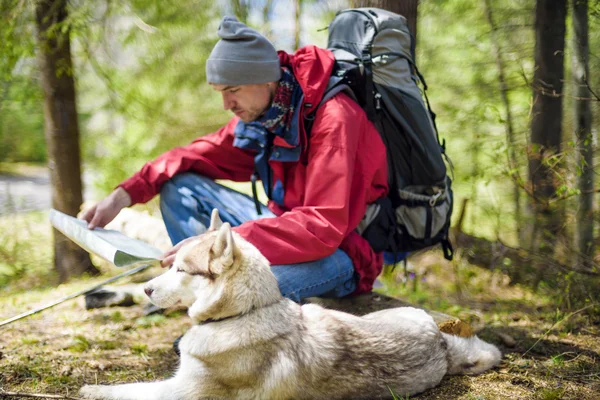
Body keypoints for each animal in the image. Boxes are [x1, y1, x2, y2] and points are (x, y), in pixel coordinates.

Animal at [81, 209, 502, 400]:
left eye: (180, 268)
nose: (147, 289)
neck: (243, 314)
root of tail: (441, 344)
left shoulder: (184, 392)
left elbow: (127, 390)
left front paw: (92, 390)